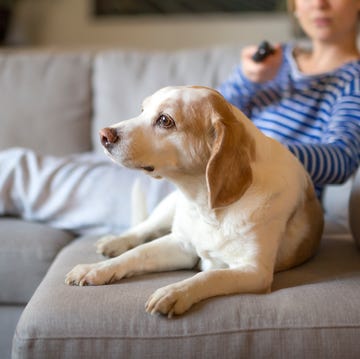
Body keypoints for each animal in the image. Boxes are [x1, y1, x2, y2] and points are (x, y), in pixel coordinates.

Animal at [64, 86, 324, 318]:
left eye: (165, 120)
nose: (103, 134)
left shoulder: (254, 271)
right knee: (143, 229)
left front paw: (174, 292)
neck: (207, 208)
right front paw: (96, 269)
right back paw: (115, 241)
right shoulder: (181, 244)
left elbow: (209, 275)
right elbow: (137, 254)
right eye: (142, 110)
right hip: (167, 209)